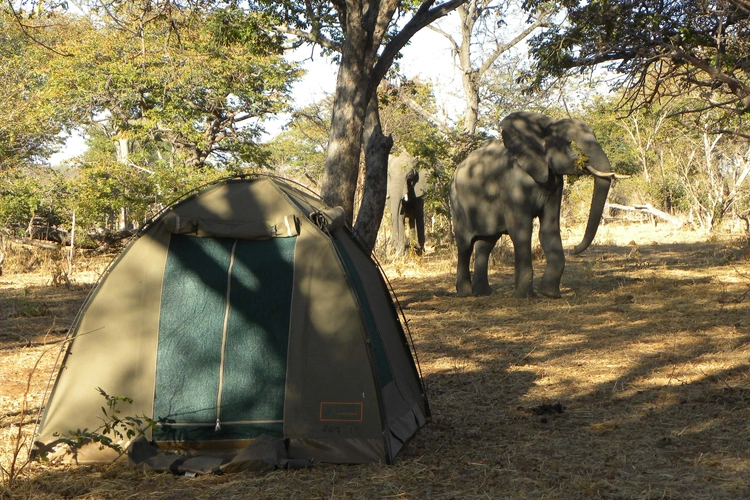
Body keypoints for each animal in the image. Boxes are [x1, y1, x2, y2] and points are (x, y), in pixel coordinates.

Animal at [452, 111, 624, 298]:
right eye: (570, 143)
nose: (575, 248)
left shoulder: (554, 184)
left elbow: (549, 229)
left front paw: (550, 294)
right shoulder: (513, 183)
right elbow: (522, 231)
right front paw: (525, 297)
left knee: (486, 243)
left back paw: (483, 293)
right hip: (457, 202)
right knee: (465, 245)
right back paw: (465, 293)